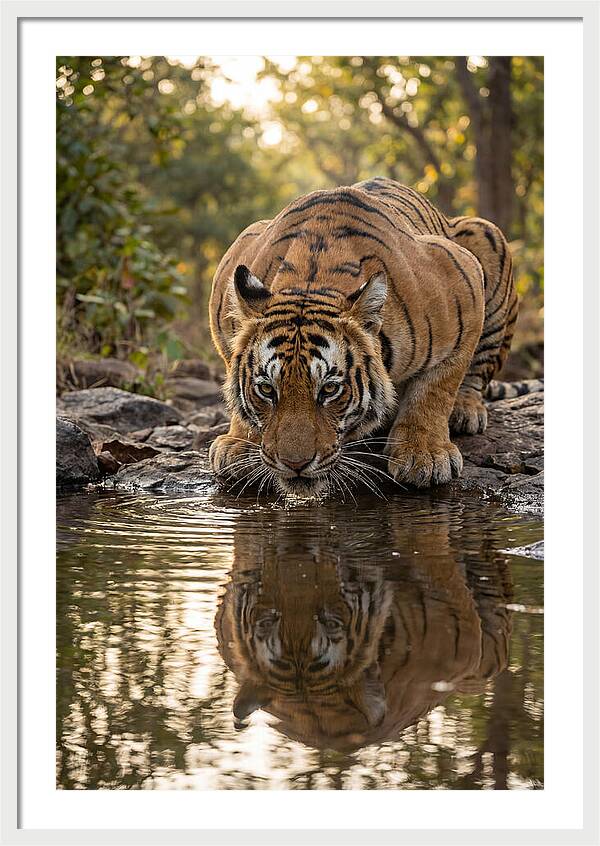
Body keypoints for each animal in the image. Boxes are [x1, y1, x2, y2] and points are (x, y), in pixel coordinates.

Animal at [208, 177, 521, 495]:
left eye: (329, 389)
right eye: (267, 389)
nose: (295, 464)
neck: (311, 280)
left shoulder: (463, 280)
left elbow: (436, 388)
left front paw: (424, 454)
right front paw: (238, 443)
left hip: (486, 234)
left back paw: (465, 411)